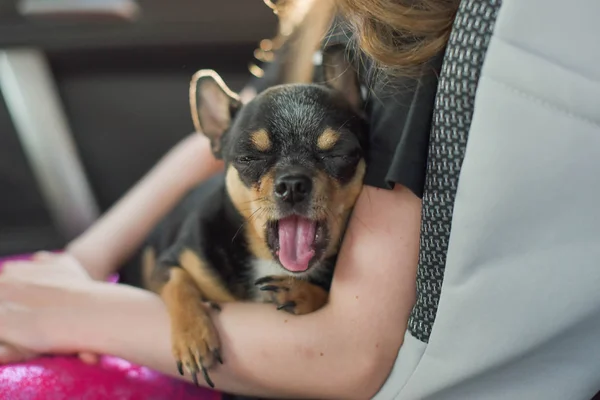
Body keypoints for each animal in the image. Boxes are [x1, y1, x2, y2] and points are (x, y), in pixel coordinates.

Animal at [139, 47, 366, 388]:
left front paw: (301, 291)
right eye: (249, 158)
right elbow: (177, 281)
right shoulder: (166, 263)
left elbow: (324, 293)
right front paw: (193, 336)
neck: (267, 260)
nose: (293, 184)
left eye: (339, 154)